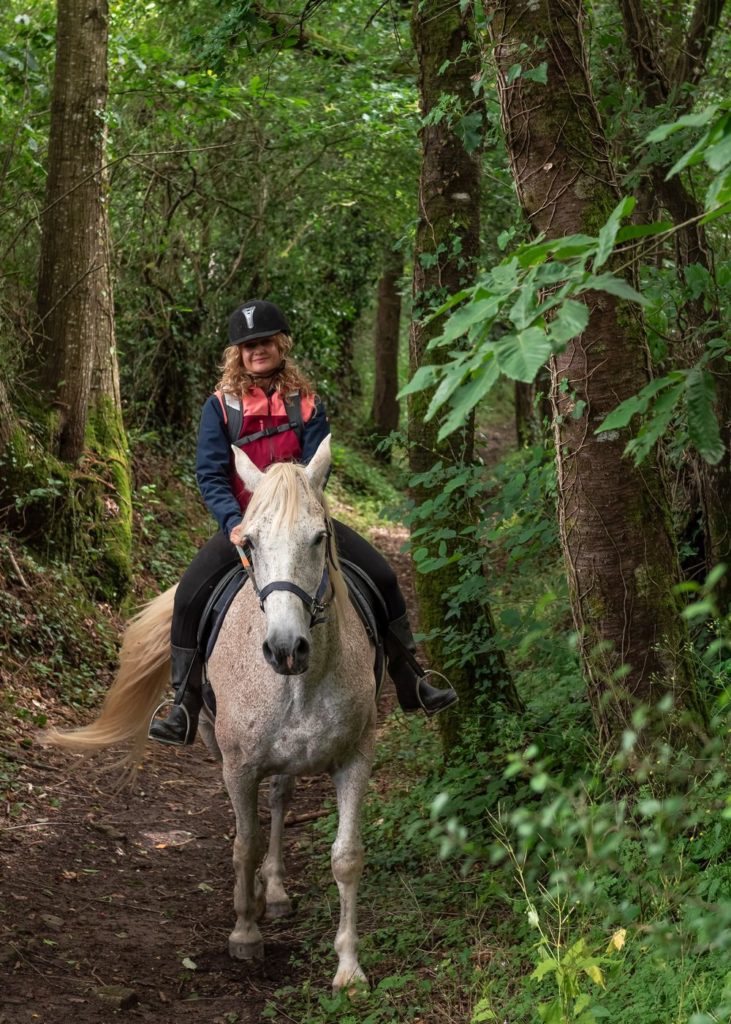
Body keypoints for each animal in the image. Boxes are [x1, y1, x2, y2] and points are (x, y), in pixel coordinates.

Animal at [44, 438, 376, 991]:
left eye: (319, 537)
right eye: (251, 542)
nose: (286, 648)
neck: (299, 683)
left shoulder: (354, 760)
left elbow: (346, 857)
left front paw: (349, 968)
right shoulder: (238, 766)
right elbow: (244, 843)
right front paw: (244, 933)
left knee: (279, 801)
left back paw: (275, 889)